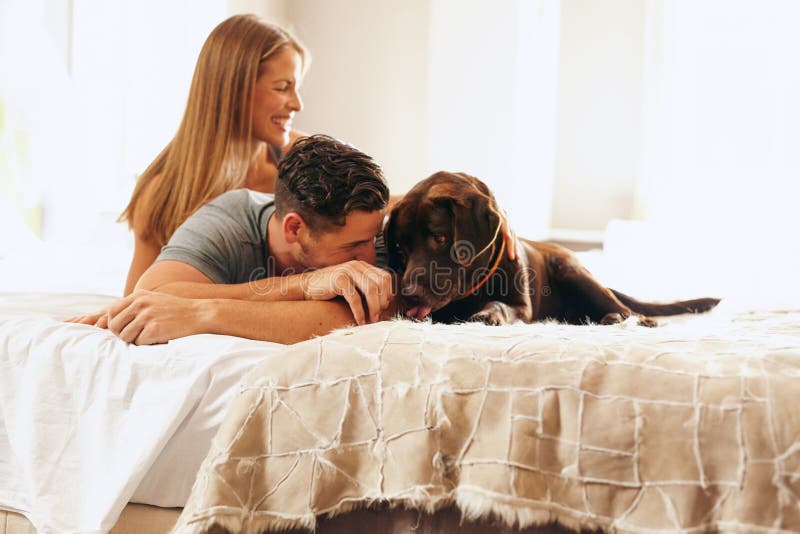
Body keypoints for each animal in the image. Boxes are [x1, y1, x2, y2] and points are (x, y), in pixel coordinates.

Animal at [384, 172, 720, 326]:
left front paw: (486, 314)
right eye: (400, 248)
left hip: (572, 271)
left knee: (631, 311)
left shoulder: (522, 306)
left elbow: (500, 304)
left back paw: (622, 318)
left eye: (439, 238)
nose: (409, 292)